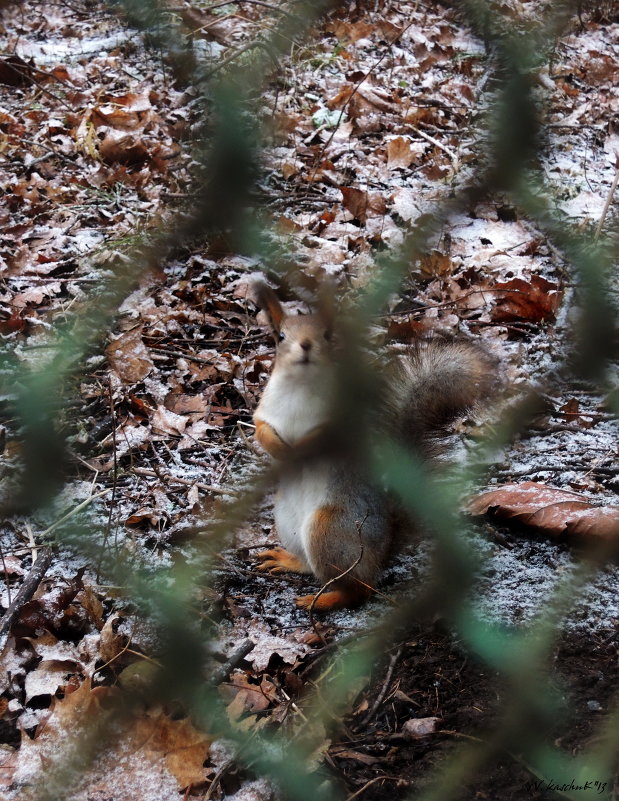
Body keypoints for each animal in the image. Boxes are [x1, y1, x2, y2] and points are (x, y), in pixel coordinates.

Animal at [249, 282, 496, 612]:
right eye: (281, 336)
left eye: (327, 334)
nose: (306, 345)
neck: (300, 387)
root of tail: (384, 546)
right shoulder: (265, 411)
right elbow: (260, 429)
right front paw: (280, 450)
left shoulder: (342, 421)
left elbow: (323, 438)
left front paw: (299, 450)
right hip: (287, 524)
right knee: (314, 569)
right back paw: (290, 561)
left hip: (331, 528)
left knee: (357, 590)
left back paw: (325, 599)